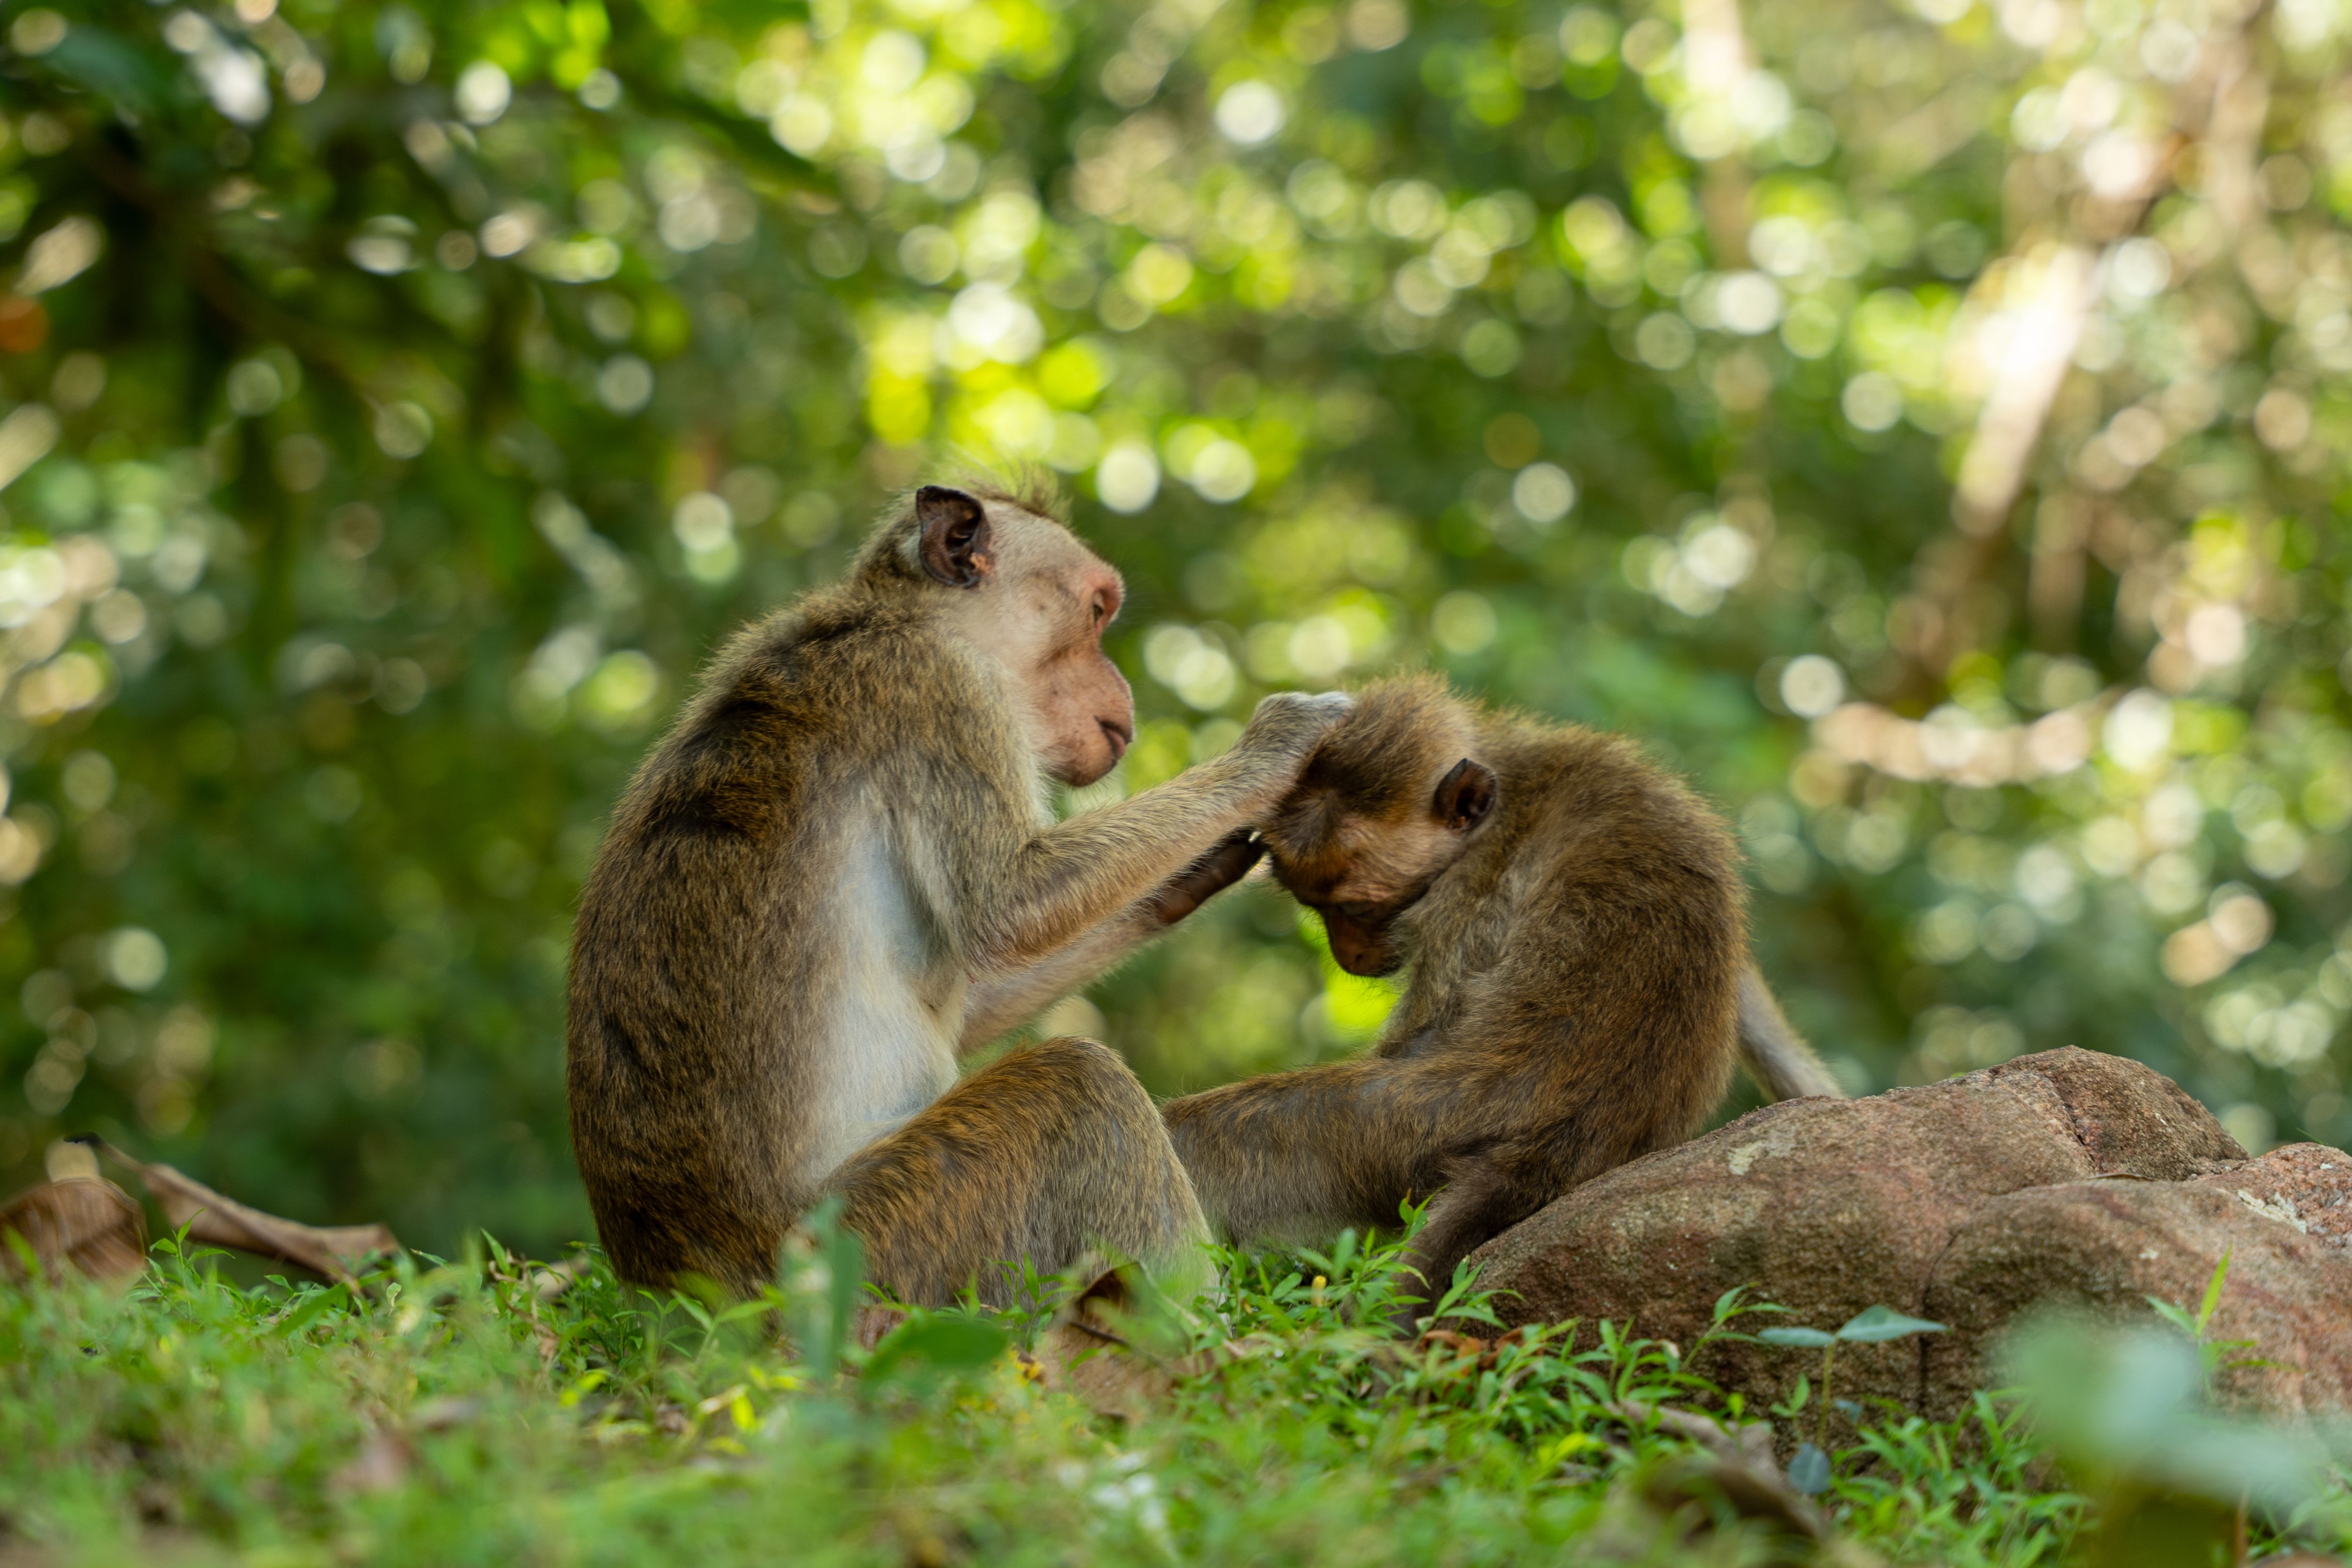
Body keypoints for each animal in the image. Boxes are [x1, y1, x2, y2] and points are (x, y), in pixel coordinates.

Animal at [566, 478, 1350, 1304]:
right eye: (1097, 611)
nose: (1124, 697)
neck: (898, 616)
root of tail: (695, 1295)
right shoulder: (944, 690)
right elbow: (1010, 905)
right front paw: (1272, 748)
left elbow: (973, 1000)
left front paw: (1187, 875)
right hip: (883, 1249)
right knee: (1077, 1083)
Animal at [1159, 674, 1841, 1323]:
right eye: (1316, 908)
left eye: (1356, 907)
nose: (1347, 955)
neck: (1511, 781)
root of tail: (1558, 1144)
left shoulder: (1468, 885)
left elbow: (1427, 1029)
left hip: (1394, 1130)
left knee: (1209, 1134)